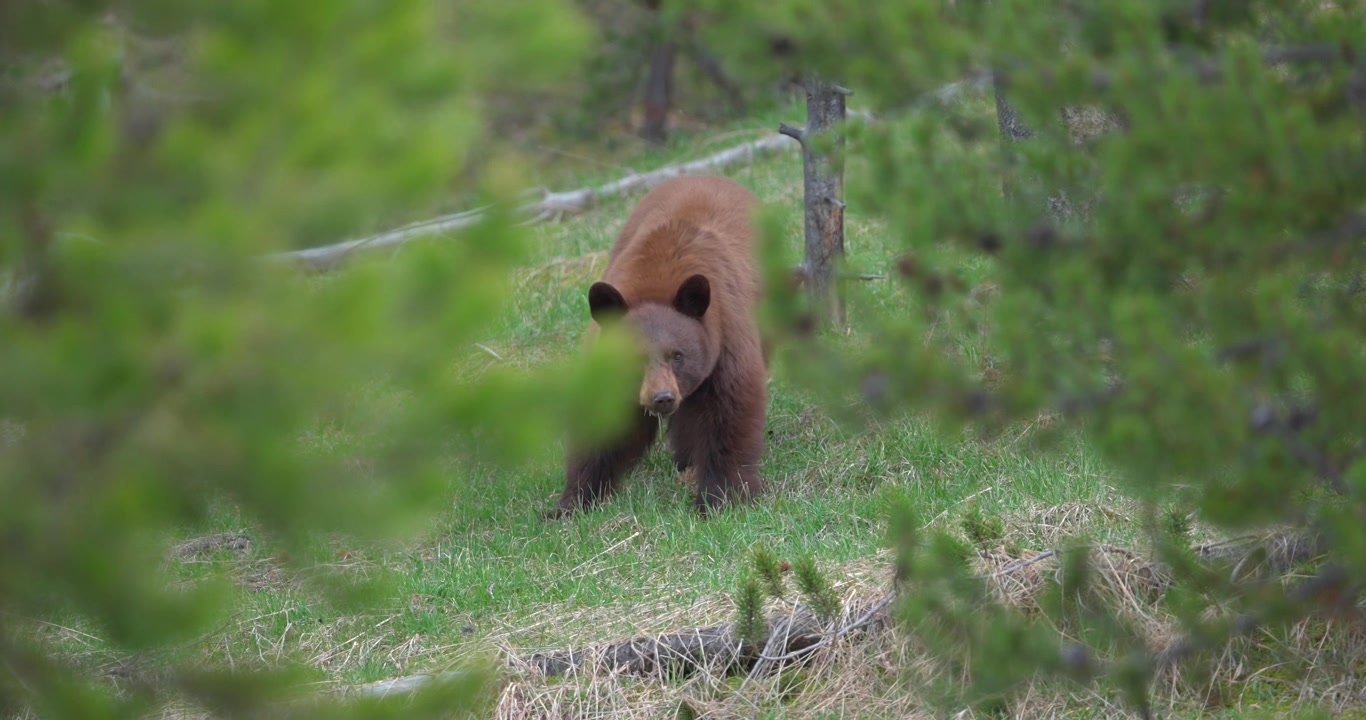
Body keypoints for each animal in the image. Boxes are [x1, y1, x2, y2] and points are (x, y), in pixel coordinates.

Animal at [545, 175, 768, 518]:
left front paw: (719, 499)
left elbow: (729, 412)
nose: (662, 397)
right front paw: (571, 502)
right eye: (633, 360)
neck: (656, 281)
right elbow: (601, 423)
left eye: (678, 355)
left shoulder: (727, 338)